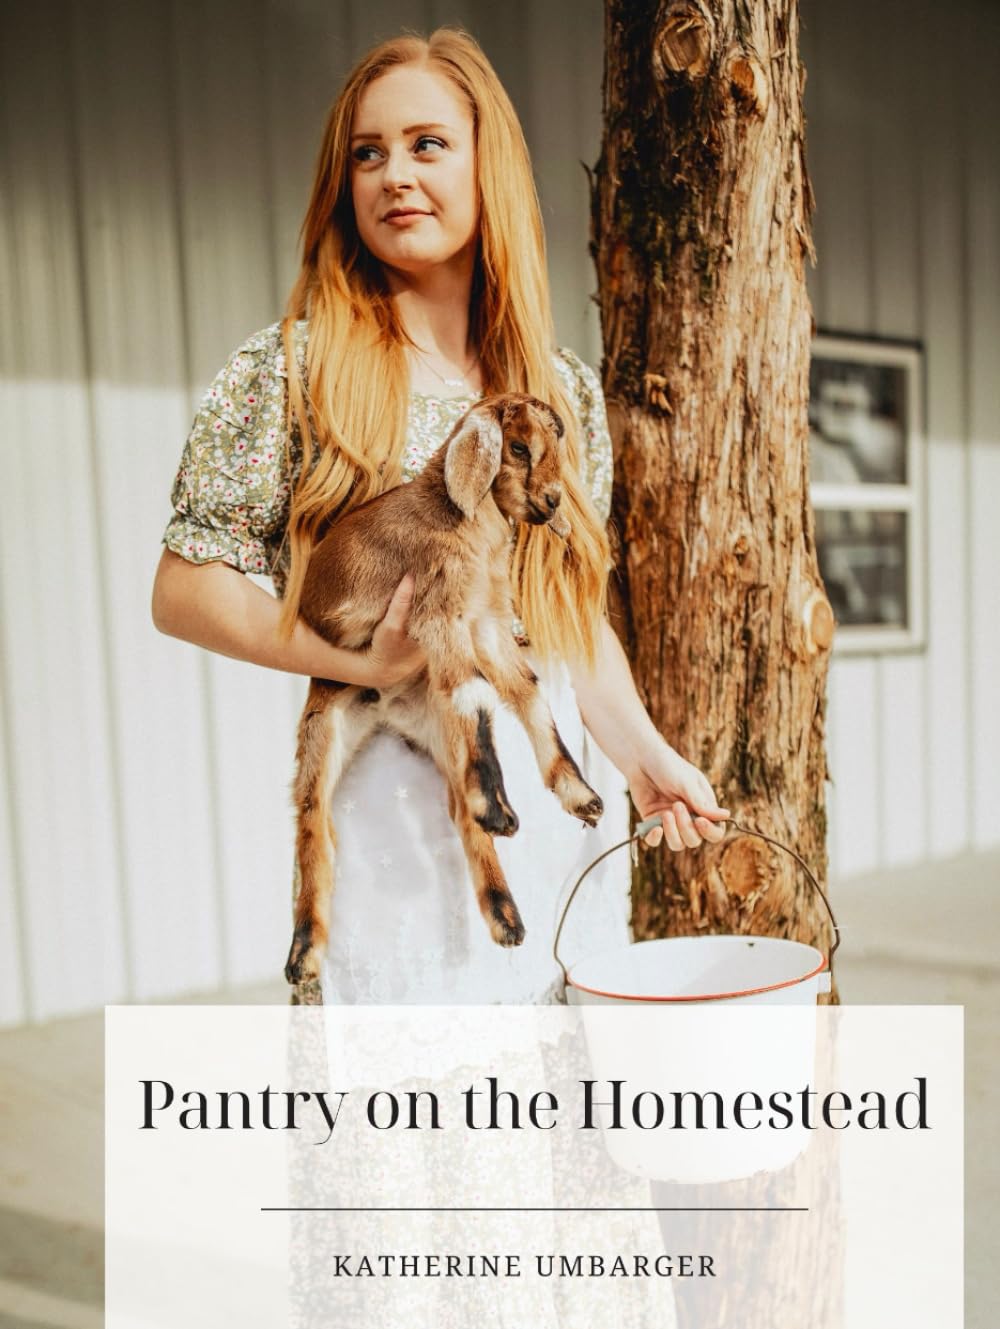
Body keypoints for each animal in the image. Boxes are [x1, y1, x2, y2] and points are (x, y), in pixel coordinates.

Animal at [284, 393, 606, 988]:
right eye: (518, 448)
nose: (552, 502)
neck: (466, 523)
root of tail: (386, 708)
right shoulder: (439, 612)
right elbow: (475, 691)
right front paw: (501, 809)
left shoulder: (488, 622)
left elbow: (526, 690)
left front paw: (578, 794)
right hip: (322, 730)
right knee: (314, 826)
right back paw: (304, 954)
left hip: (437, 727)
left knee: (457, 807)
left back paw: (505, 916)